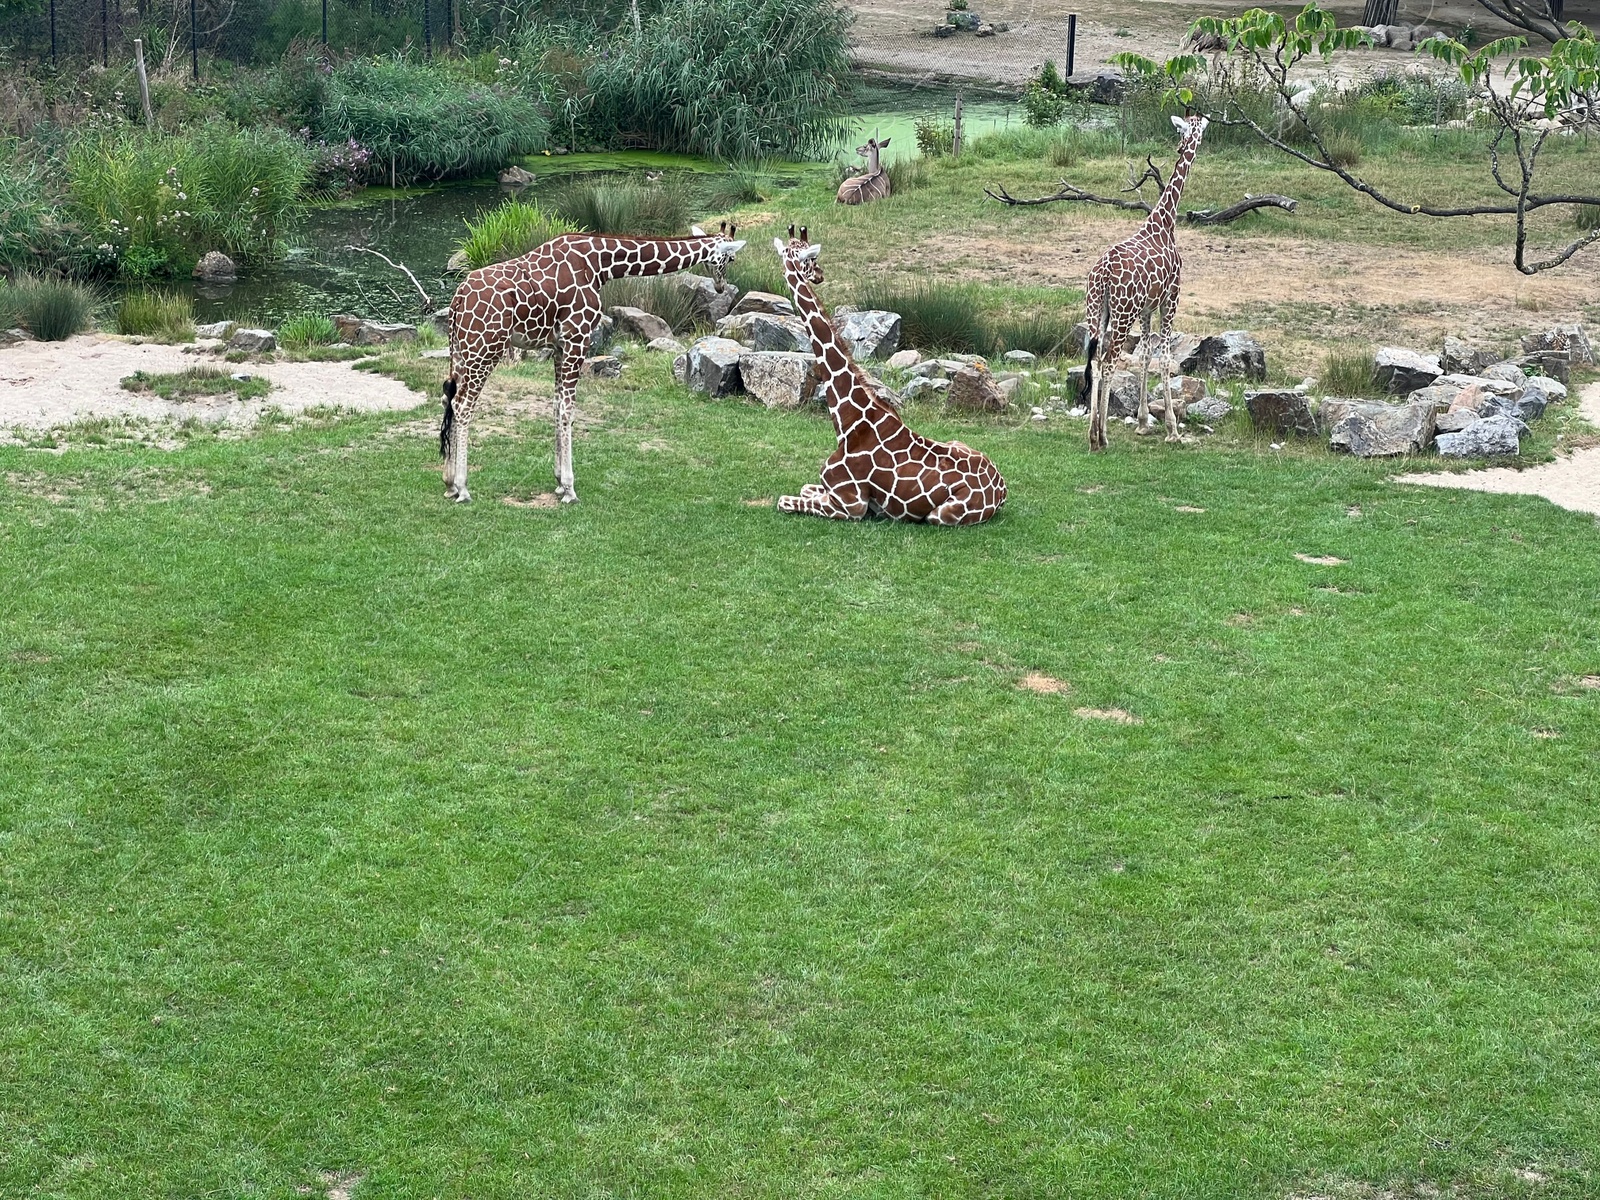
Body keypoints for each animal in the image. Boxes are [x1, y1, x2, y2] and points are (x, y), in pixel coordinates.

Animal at [441, 222, 745, 502]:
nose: (721, 286)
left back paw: (449, 483)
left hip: (460, 350)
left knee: (448, 398)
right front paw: (569, 489)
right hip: (485, 348)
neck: (601, 264)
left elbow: (556, 407)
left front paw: (558, 482)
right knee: (463, 405)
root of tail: (458, 299)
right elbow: (568, 410)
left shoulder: (559, 345)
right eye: (730, 258)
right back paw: (463, 488)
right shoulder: (578, 338)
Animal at [771, 227, 1004, 524]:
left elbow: (783, 501)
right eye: (811, 260)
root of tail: (1003, 492)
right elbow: (803, 488)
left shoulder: (851, 505)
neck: (849, 421)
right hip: (958, 443)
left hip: (940, 515)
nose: (820, 275)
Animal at [1081, 115, 1203, 454]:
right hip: (1123, 315)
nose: (1206, 120)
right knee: (1109, 362)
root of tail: (1103, 274)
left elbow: (1147, 355)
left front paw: (1144, 422)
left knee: (1094, 359)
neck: (1165, 223)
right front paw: (1172, 429)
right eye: (1197, 124)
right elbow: (1165, 357)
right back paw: (1102, 436)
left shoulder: (1147, 308)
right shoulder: (1171, 298)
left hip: (1096, 310)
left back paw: (1092, 435)